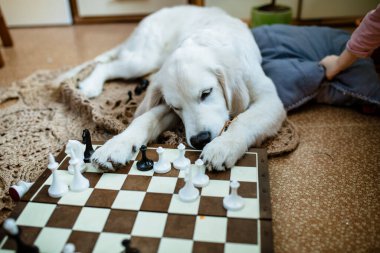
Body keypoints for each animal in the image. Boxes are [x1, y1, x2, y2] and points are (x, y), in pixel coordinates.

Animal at [61, 5, 284, 172]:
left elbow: (244, 120)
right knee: (105, 65)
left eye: (206, 93)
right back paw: (90, 85)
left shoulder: (271, 100)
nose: (200, 140)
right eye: (176, 107)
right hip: (143, 59)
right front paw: (116, 145)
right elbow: (145, 118)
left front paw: (223, 146)